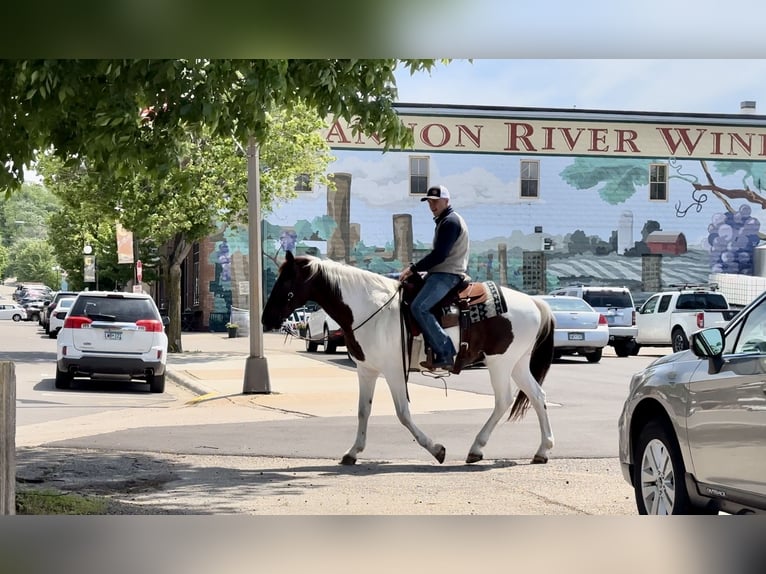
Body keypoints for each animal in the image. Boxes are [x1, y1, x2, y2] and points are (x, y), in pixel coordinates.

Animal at [260, 253, 556, 468]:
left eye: (285, 282)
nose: (266, 318)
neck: (370, 309)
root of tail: (534, 302)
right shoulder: (366, 370)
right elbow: (363, 411)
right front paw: (352, 452)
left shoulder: (393, 370)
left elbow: (403, 413)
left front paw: (437, 449)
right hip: (517, 363)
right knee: (538, 396)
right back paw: (542, 450)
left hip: (500, 363)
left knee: (504, 400)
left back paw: (476, 448)